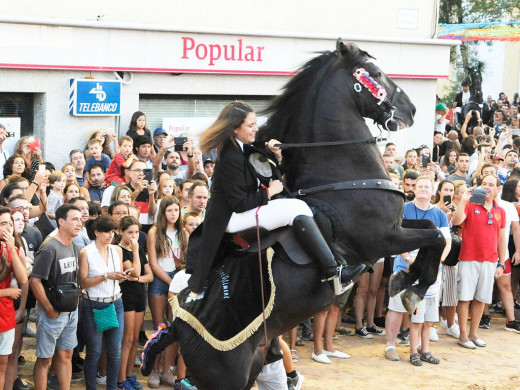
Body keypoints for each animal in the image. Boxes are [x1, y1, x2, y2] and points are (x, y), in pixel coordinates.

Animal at [142, 40, 446, 390]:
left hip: (256, 359)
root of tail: (175, 327)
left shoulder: (396, 226)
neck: (339, 175)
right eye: (376, 73)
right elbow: (437, 236)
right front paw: (412, 288)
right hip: (227, 377)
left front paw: (407, 281)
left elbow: (434, 228)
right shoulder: (381, 239)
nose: (410, 109)